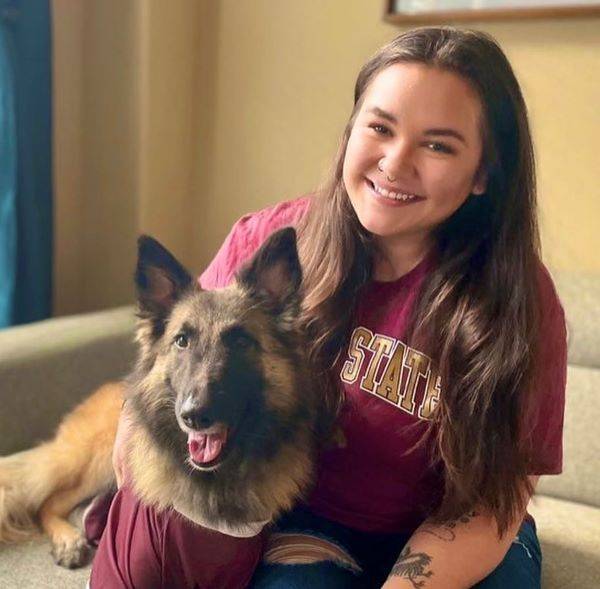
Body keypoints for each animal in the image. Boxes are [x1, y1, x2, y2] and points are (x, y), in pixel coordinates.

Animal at [1, 227, 328, 584]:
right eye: (182, 341)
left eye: (241, 341)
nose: (194, 416)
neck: (211, 487)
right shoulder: (122, 567)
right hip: (96, 461)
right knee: (45, 502)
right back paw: (68, 539)